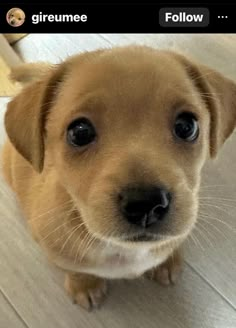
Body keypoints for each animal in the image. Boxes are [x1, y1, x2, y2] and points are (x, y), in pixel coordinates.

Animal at [1, 46, 236, 310]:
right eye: (80, 132)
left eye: (187, 126)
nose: (145, 204)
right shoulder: (53, 249)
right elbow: (76, 270)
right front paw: (85, 285)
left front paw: (167, 261)